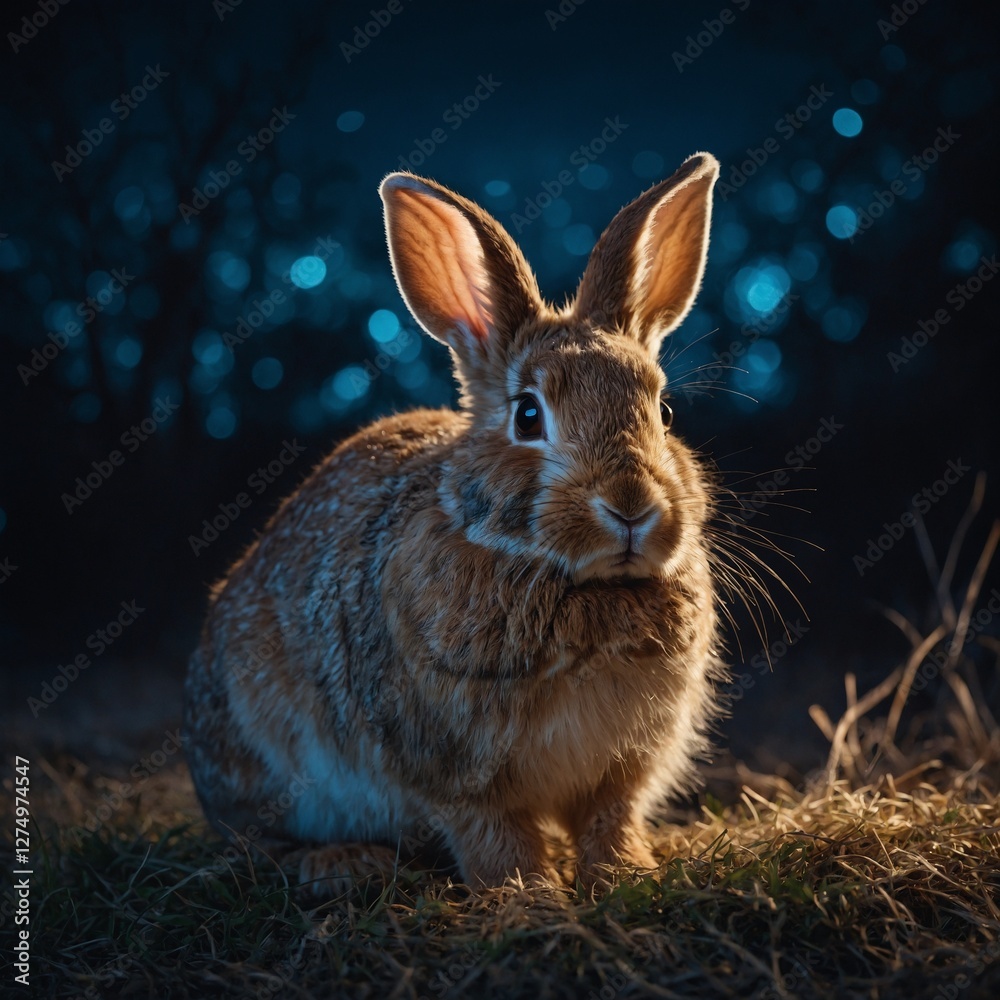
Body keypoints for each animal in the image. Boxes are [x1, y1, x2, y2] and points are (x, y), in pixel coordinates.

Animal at [183, 151, 726, 892]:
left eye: (663, 413)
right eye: (527, 415)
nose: (632, 505)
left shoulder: (622, 766)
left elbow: (610, 819)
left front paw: (626, 875)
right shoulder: (458, 772)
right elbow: (496, 838)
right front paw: (531, 896)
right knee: (252, 841)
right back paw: (342, 862)